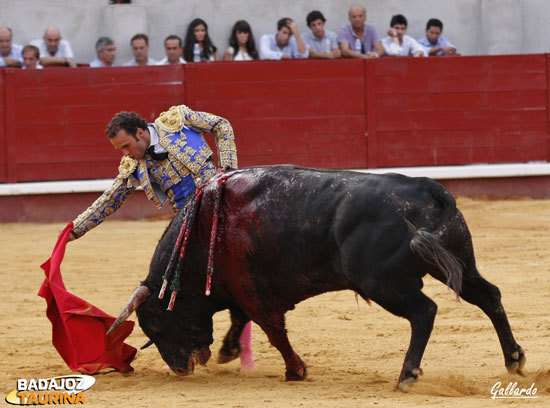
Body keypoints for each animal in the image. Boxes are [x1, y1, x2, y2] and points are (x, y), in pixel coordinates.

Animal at [124, 166, 528, 388]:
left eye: (157, 326)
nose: (180, 369)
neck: (205, 225)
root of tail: (430, 189)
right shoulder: (242, 290)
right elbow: (241, 320)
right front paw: (228, 350)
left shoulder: (252, 291)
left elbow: (273, 330)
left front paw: (296, 371)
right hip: (457, 264)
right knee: (489, 296)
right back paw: (514, 358)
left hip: (383, 283)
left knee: (424, 312)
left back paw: (407, 375)